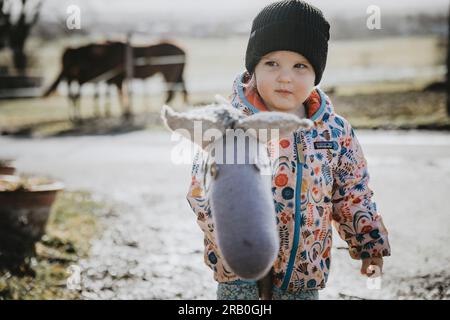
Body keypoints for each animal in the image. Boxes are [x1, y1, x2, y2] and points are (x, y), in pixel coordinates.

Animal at [43, 41, 188, 121]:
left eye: (69, 61)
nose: (65, 72)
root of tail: (182, 49)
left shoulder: (115, 79)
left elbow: (117, 95)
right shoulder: (110, 79)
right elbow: (107, 94)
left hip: (169, 74)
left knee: (172, 92)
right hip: (176, 74)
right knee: (180, 91)